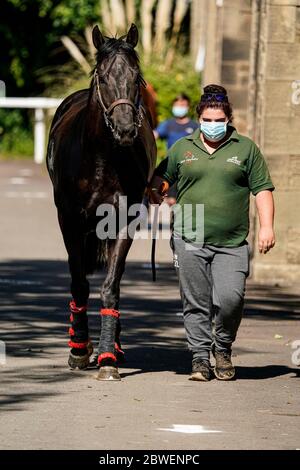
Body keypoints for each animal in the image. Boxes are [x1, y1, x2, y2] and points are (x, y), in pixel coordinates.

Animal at [46, 23, 157, 380]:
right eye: (104, 78)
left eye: (137, 78)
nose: (125, 129)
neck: (101, 159)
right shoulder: (69, 220)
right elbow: (79, 282)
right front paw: (79, 350)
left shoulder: (125, 221)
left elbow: (111, 284)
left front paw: (108, 357)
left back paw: (115, 347)